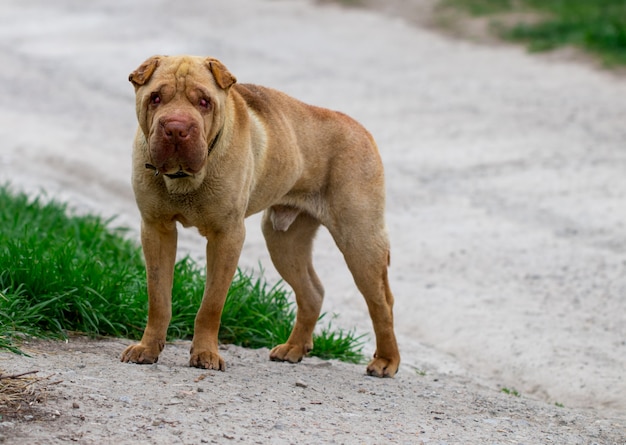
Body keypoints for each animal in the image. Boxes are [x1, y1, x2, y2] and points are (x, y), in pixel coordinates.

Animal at [119, 53, 398, 376]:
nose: (176, 128)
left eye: (204, 102)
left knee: (382, 303)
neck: (184, 179)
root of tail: (362, 129)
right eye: (155, 98)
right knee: (312, 292)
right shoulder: (156, 229)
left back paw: (386, 361)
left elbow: (211, 304)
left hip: (359, 240)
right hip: (284, 240)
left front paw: (205, 354)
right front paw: (148, 348)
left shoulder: (227, 236)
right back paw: (293, 348)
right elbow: (159, 297)